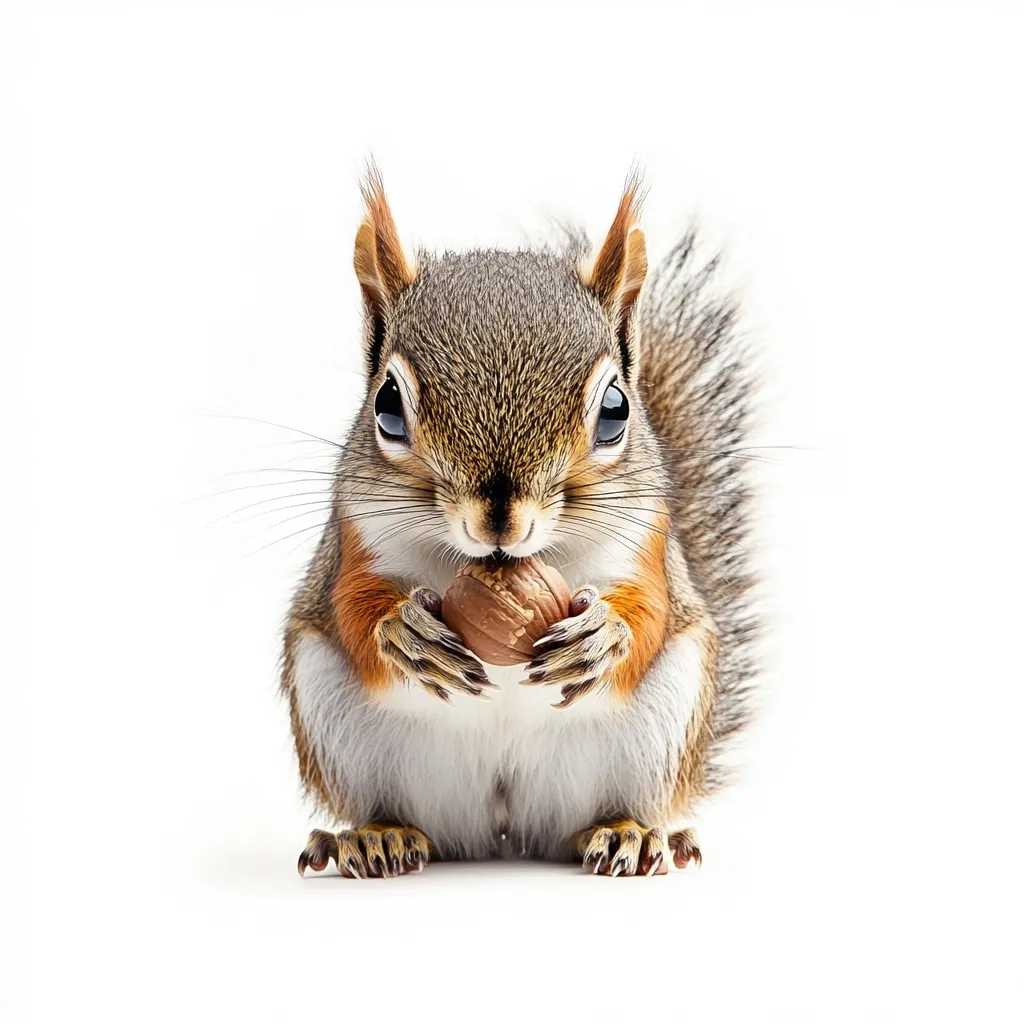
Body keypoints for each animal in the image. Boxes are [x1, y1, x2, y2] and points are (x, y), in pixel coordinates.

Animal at [285, 166, 757, 878]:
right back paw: (375, 835)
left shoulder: (645, 543)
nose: (499, 523)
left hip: (659, 726)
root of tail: (502, 828)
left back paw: (631, 833)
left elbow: (649, 610)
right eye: (387, 405)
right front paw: (402, 631)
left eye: (616, 409)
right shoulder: (354, 537)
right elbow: (349, 605)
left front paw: (604, 634)